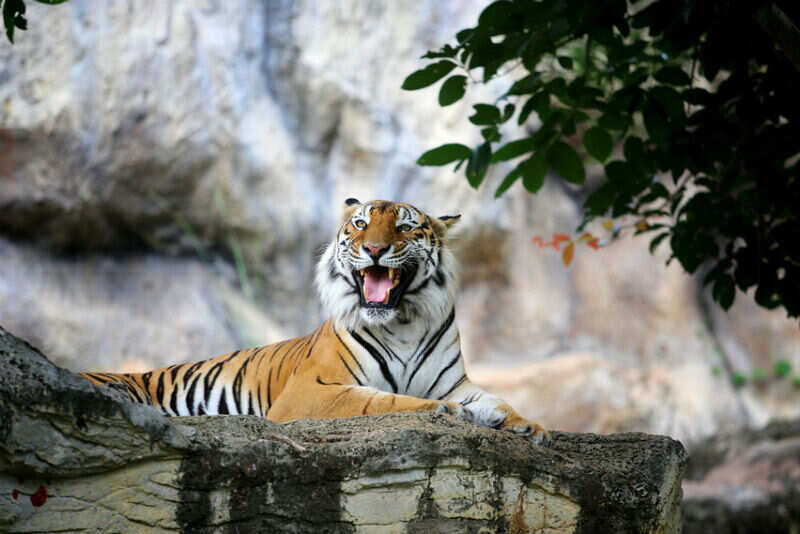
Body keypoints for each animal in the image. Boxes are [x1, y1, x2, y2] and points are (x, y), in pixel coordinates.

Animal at [80, 199, 550, 444]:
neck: (403, 323)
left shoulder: (454, 382)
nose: (375, 249)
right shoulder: (312, 389)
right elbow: (383, 400)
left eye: (403, 228)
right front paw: (452, 413)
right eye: (360, 224)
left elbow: (497, 400)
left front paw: (531, 426)